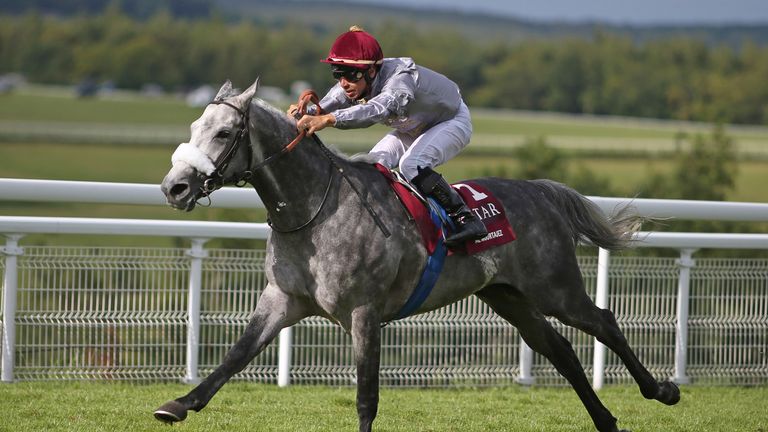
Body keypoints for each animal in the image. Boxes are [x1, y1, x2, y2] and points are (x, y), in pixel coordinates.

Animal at [156, 79, 680, 432]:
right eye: (195, 125)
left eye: (224, 134)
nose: (173, 187)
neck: (313, 209)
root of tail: (541, 191)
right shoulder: (282, 299)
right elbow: (234, 357)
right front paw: (178, 405)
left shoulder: (364, 312)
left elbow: (366, 396)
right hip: (508, 296)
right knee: (561, 350)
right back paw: (607, 420)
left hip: (555, 288)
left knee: (603, 323)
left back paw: (662, 390)